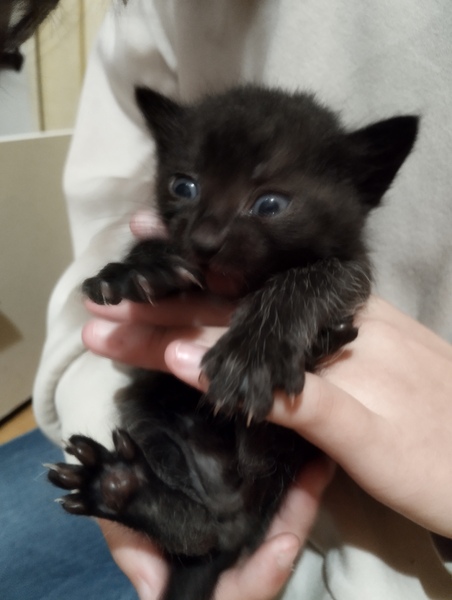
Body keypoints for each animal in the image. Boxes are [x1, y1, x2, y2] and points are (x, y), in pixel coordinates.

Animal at [48, 84, 418, 600]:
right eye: (184, 186)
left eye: (270, 204)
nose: (203, 240)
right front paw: (144, 265)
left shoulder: (353, 264)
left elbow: (314, 275)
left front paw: (252, 357)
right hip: (147, 409)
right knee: (203, 533)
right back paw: (125, 487)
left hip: (290, 454)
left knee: (249, 476)